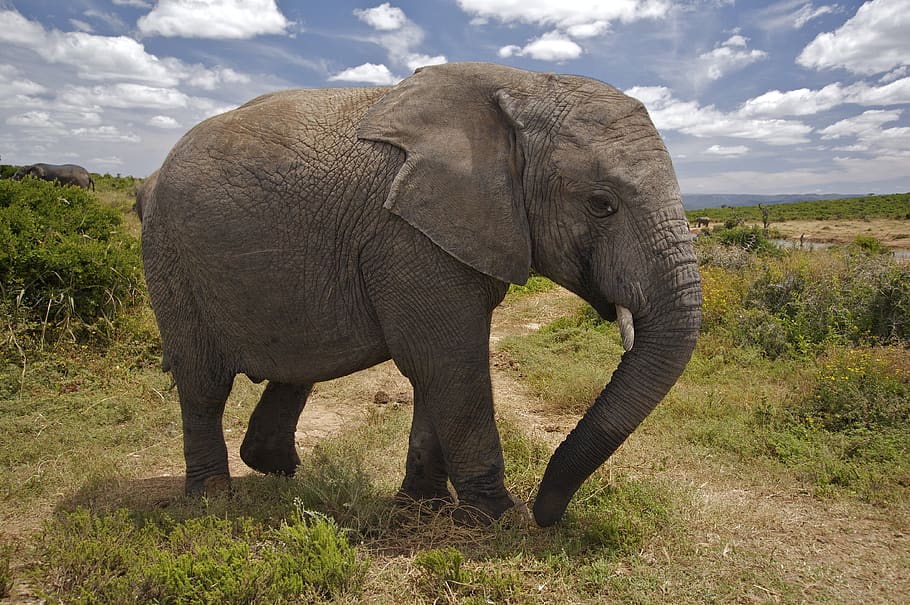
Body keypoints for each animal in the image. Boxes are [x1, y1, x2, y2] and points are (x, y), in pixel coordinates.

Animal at [138, 62, 702, 527]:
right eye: (601, 204)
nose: (548, 515)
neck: (526, 88)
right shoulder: (409, 234)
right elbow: (450, 364)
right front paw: (501, 519)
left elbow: (438, 369)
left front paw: (423, 508)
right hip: (170, 256)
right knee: (204, 383)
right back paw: (212, 499)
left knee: (297, 366)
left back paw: (277, 470)